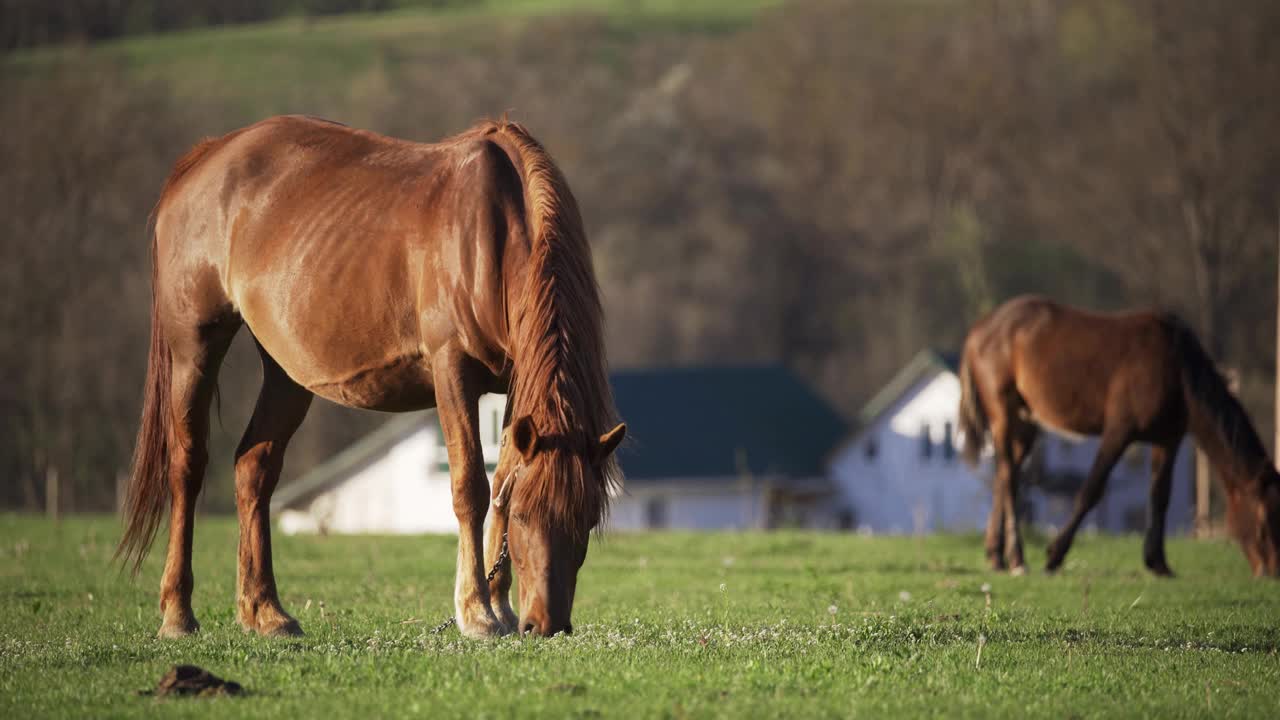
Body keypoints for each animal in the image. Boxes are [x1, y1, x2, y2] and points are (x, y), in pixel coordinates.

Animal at [115, 114, 624, 635]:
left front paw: (500, 606)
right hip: (193, 349)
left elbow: (501, 478)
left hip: (285, 373)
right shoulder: (452, 370)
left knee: (254, 469)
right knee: (187, 466)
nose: (546, 624)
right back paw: (178, 612)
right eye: (524, 517)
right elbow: (471, 487)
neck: (494, 230)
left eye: (586, 519)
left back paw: (266, 612)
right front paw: (478, 612)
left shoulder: (514, 384)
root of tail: (207, 157)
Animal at [962, 294, 1280, 573]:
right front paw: (1054, 555)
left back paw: (996, 556)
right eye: (1265, 523)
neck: (1175, 368)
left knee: (1006, 475)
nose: (1271, 571)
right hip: (1003, 412)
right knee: (1008, 477)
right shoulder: (1119, 431)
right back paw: (1017, 557)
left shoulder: (1168, 439)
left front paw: (1158, 562)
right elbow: (1091, 490)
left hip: (1027, 420)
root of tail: (980, 328)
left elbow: (1160, 496)